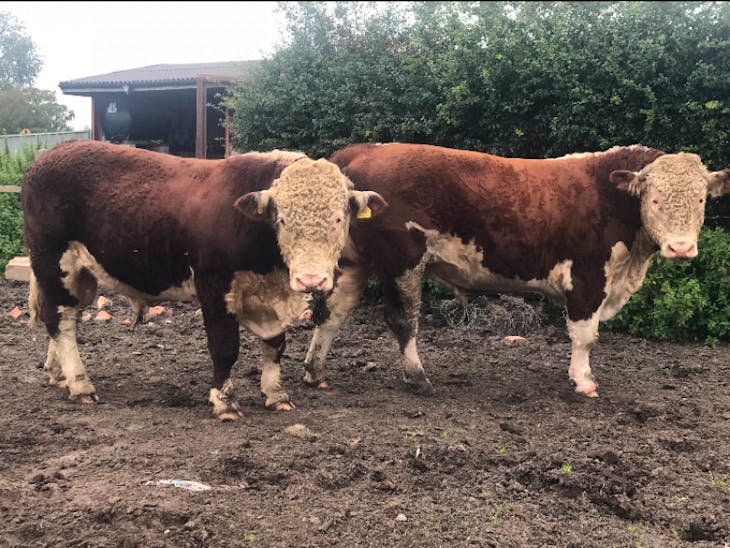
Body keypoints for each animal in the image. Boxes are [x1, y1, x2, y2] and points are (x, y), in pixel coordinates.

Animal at [22, 140, 386, 420]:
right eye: (282, 219)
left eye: (339, 218)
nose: (311, 280)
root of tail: (50, 154)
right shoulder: (214, 285)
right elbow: (224, 348)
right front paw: (224, 402)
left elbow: (274, 345)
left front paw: (276, 394)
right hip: (54, 263)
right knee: (60, 320)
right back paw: (80, 383)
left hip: (81, 276)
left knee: (64, 318)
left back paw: (59, 374)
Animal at [302, 143, 730, 397]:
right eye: (655, 198)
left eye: (701, 198)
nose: (681, 247)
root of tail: (364, 149)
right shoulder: (588, 277)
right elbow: (585, 336)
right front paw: (584, 381)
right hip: (401, 259)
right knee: (402, 320)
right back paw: (418, 377)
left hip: (353, 261)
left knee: (331, 314)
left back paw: (315, 371)